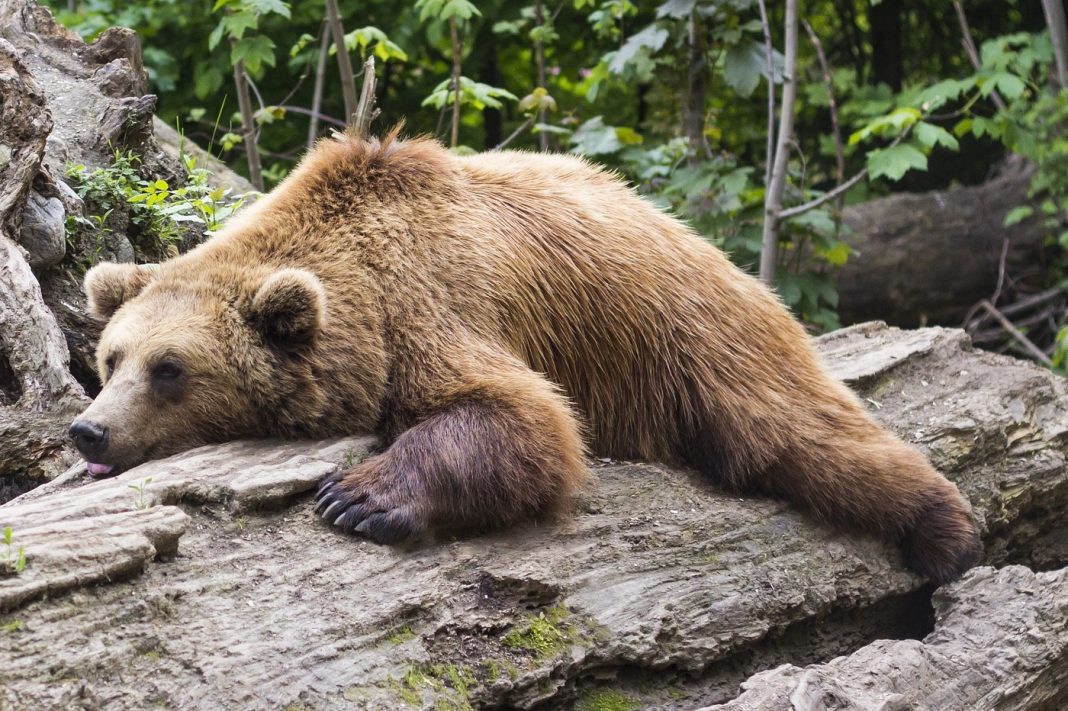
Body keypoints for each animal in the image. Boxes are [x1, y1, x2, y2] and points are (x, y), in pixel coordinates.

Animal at [68, 125, 982, 580]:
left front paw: (357, 496)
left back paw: (948, 530)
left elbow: (523, 417)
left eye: (171, 368)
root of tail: (694, 236)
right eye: (111, 359)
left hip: (692, 337)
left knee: (797, 433)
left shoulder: (432, 304)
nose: (89, 430)